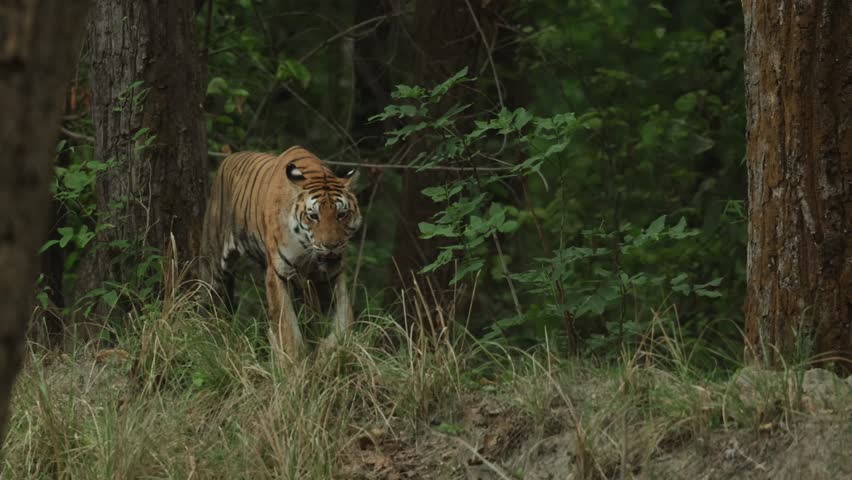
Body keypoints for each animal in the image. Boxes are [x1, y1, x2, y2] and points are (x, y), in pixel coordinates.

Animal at [199, 146, 361, 358]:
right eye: (313, 216)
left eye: (341, 214)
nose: (331, 245)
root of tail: (229, 156)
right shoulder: (278, 273)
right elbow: (287, 328)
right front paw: (294, 362)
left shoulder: (334, 275)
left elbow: (345, 321)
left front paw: (326, 353)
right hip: (213, 261)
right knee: (207, 298)